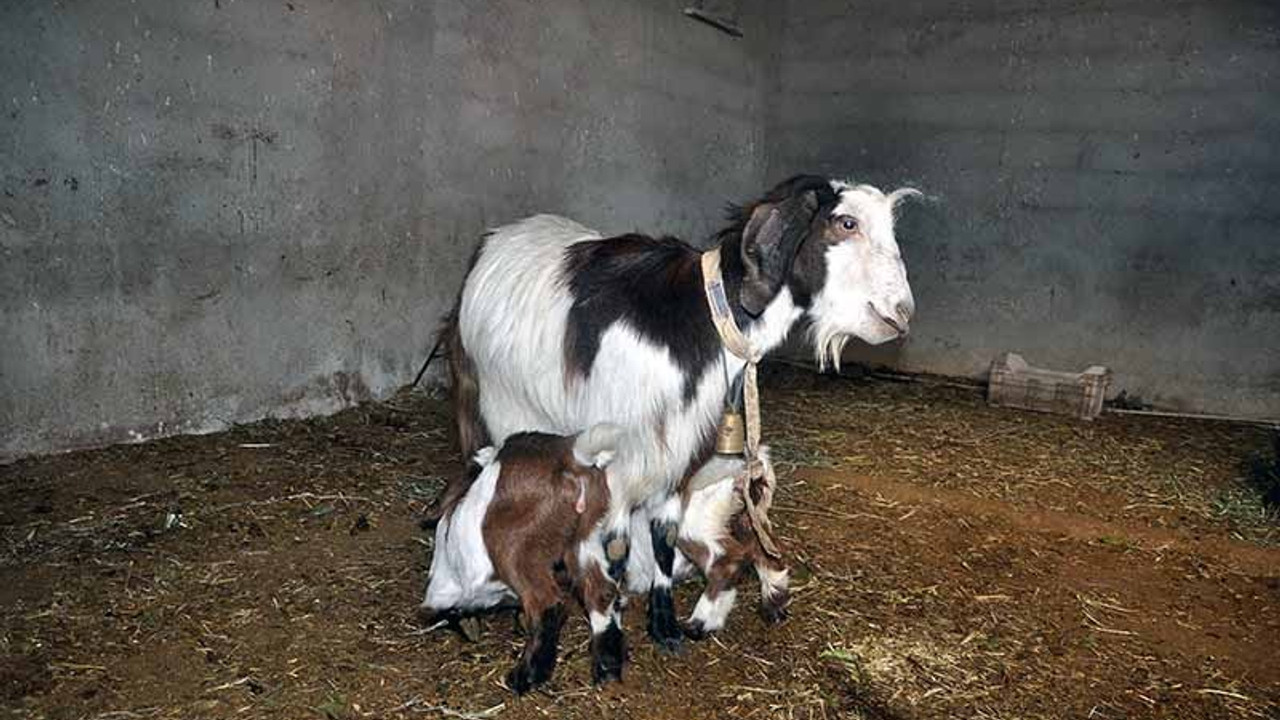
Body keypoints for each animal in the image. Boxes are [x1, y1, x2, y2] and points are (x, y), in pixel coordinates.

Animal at [422, 422, 627, 691]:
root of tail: (572, 454)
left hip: (513, 551)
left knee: (548, 603)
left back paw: (525, 677)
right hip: (585, 538)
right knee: (601, 592)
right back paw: (606, 669)